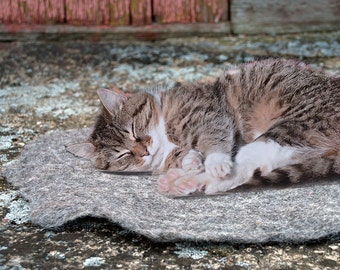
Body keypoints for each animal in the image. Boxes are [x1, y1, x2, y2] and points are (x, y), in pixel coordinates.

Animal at [67, 58, 340, 196]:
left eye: (133, 130)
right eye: (123, 155)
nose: (143, 151)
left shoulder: (210, 113)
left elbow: (214, 137)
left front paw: (213, 160)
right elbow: (183, 155)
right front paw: (188, 160)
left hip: (292, 126)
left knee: (243, 166)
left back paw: (189, 181)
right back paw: (184, 182)